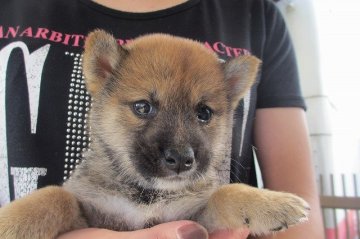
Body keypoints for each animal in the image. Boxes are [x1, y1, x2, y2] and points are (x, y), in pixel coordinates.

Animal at [0, 30, 310, 239]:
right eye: (142, 107)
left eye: (204, 113)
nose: (182, 159)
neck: (146, 195)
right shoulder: (91, 213)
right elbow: (56, 197)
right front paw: (11, 222)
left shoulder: (193, 214)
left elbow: (223, 193)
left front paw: (268, 203)